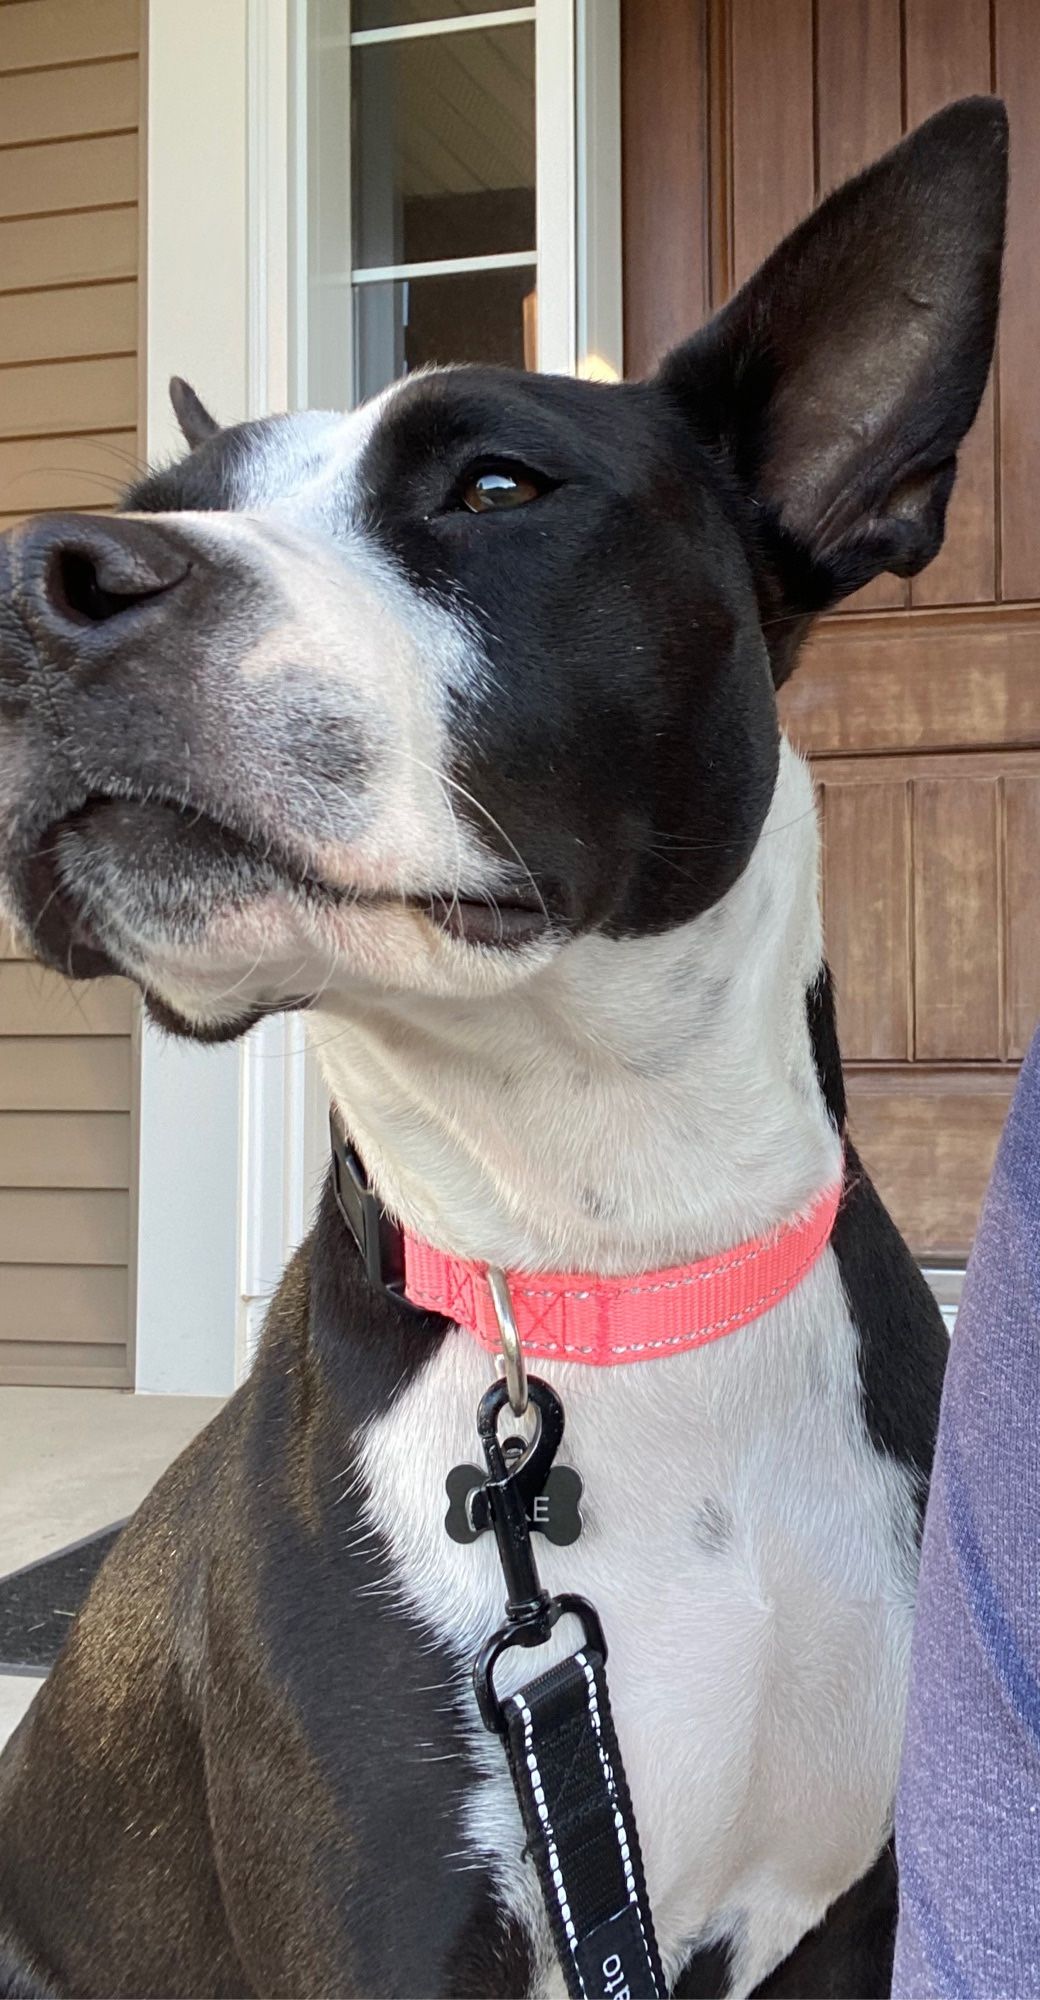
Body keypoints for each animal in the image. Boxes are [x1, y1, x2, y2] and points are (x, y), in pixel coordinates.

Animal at [0, 101, 1012, 2000]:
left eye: (493, 487)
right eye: (166, 507)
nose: (41, 574)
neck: (611, 1259)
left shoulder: (851, 1916)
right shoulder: (383, 1938)